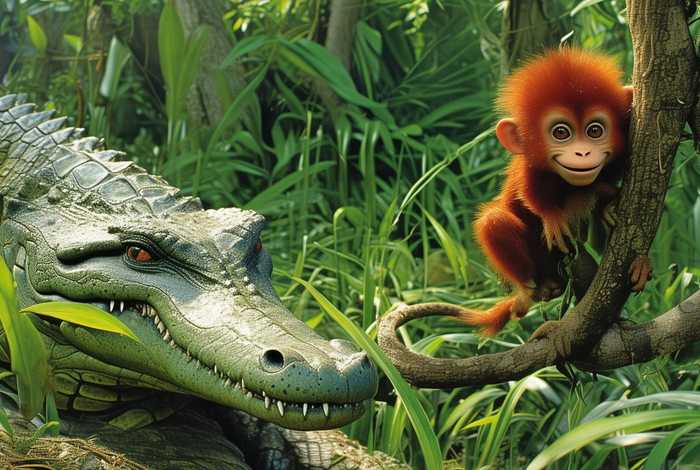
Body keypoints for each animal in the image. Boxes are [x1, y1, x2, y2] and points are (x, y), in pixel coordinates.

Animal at [458, 48, 652, 336]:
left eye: (595, 130)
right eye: (561, 133)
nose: (582, 153)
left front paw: (609, 203)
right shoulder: (528, 168)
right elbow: (529, 195)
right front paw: (552, 216)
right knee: (494, 222)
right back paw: (529, 290)